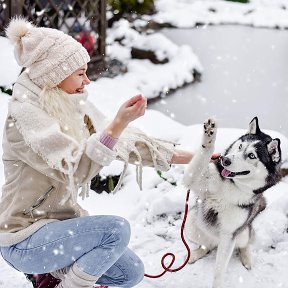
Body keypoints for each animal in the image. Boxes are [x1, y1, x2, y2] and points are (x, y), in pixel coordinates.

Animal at [184, 117, 282, 288]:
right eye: (240, 146)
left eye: (251, 156)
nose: (225, 160)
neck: (233, 185)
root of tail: (215, 241)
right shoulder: (194, 179)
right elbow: (202, 156)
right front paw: (209, 135)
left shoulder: (229, 234)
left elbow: (219, 271)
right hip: (191, 223)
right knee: (207, 246)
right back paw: (195, 254)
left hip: (242, 232)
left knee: (245, 243)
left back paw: (247, 257)